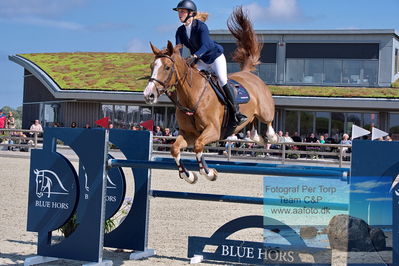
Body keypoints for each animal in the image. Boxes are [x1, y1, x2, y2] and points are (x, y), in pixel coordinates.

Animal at [144, 7, 278, 184]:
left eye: (167, 67)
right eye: (152, 66)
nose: (149, 95)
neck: (192, 97)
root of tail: (248, 73)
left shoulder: (213, 131)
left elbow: (199, 146)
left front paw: (208, 173)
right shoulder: (188, 134)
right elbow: (174, 149)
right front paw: (188, 175)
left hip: (264, 110)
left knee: (268, 121)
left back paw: (272, 138)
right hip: (251, 115)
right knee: (253, 124)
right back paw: (257, 138)